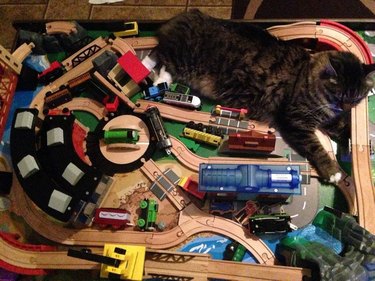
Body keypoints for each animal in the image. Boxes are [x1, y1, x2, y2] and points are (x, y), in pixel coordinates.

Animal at [148, 9, 374, 183]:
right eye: (339, 96)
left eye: (355, 99)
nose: (344, 108)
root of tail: (189, 14)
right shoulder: (296, 121)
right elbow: (316, 147)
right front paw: (333, 171)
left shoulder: (330, 119)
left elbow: (343, 129)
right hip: (182, 58)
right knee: (157, 56)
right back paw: (153, 79)